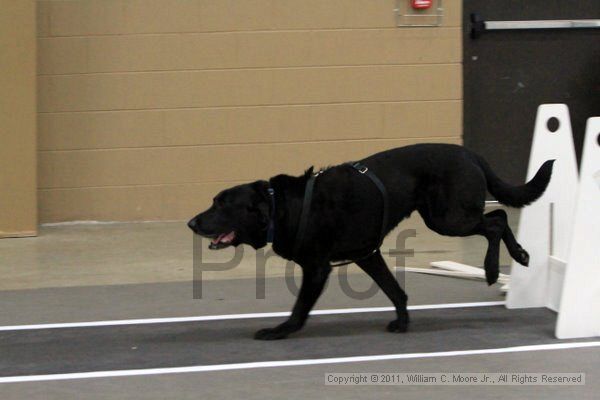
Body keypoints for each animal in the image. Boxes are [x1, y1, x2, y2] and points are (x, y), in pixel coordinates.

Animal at [188, 142, 552, 340]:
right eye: (214, 201)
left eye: (222, 204)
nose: (192, 222)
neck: (282, 207)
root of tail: (472, 154)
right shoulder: (367, 254)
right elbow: (395, 290)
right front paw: (403, 322)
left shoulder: (317, 268)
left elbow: (300, 307)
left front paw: (281, 330)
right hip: (444, 216)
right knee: (498, 217)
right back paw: (516, 256)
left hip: (449, 219)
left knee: (497, 221)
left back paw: (496, 267)